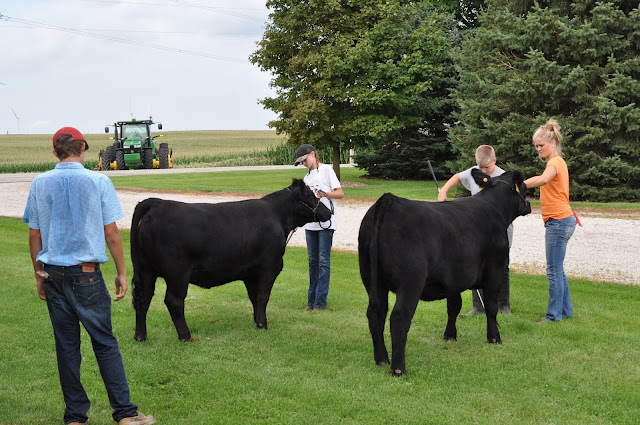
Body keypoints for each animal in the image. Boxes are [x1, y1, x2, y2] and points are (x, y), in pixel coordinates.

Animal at [130, 178, 332, 342]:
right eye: (311, 196)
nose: (328, 212)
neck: (277, 215)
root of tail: (157, 203)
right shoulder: (269, 266)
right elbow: (263, 295)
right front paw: (263, 325)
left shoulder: (251, 273)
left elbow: (254, 297)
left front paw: (257, 322)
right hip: (177, 273)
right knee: (174, 301)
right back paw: (186, 336)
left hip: (145, 269)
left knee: (143, 299)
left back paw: (141, 336)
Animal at [358, 169, 531, 376]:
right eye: (525, 188)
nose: (529, 205)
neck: (495, 208)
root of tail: (388, 200)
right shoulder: (495, 269)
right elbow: (491, 306)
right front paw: (494, 338)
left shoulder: (454, 278)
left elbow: (454, 306)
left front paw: (450, 335)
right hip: (410, 281)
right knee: (399, 317)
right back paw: (398, 368)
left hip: (371, 279)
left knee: (376, 313)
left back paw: (382, 359)